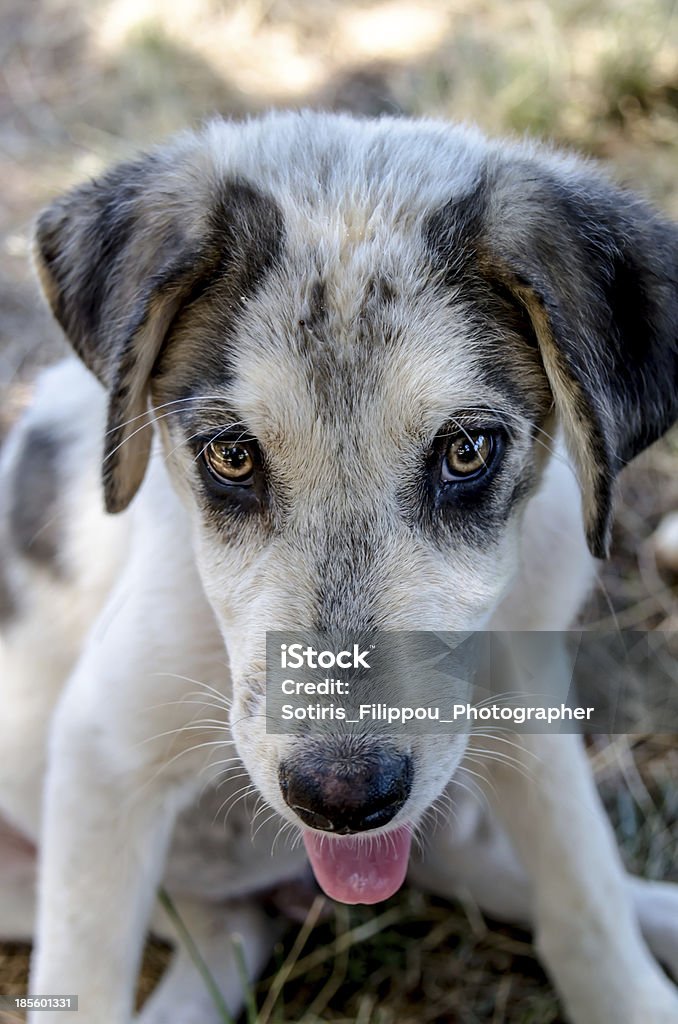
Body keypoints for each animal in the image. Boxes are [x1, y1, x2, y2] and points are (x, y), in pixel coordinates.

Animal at [1, 108, 678, 1019]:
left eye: (467, 451)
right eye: (231, 456)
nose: (343, 799)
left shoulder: (526, 697)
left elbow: (585, 889)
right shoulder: (102, 759)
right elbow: (84, 976)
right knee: (230, 932)